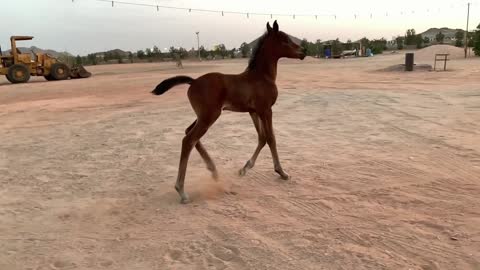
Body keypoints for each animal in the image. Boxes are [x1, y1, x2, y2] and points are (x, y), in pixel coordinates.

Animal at [152, 21, 306, 202]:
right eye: (285, 40)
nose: (304, 52)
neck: (262, 76)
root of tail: (193, 81)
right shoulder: (266, 110)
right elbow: (271, 138)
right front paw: (282, 172)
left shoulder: (254, 112)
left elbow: (261, 138)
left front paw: (245, 168)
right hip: (210, 116)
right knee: (188, 140)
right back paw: (182, 190)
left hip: (203, 116)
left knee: (188, 132)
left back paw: (213, 171)